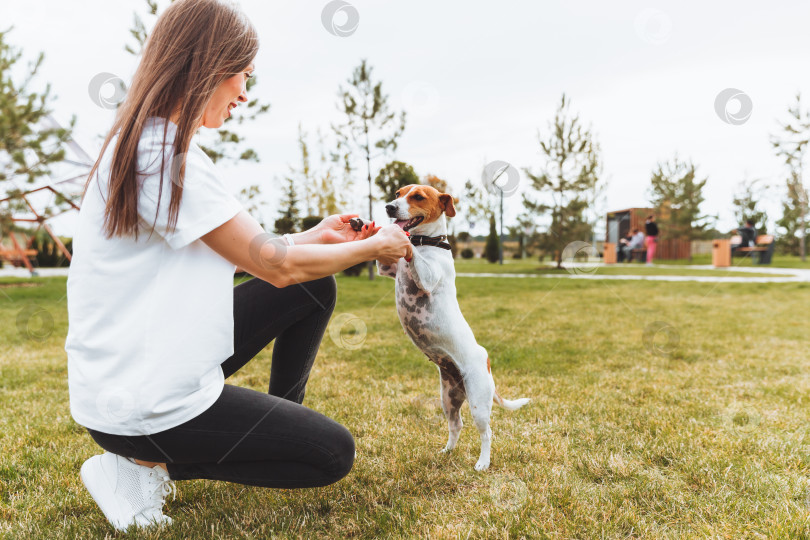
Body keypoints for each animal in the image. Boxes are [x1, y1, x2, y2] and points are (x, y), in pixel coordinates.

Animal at [378, 185, 532, 468]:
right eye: (397, 193)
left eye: (418, 196)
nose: (389, 207)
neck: (427, 242)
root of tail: (486, 361)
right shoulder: (386, 269)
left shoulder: (428, 276)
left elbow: (414, 256)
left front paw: (404, 242)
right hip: (449, 398)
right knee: (456, 425)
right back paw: (447, 452)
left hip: (479, 404)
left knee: (487, 433)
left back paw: (483, 463)